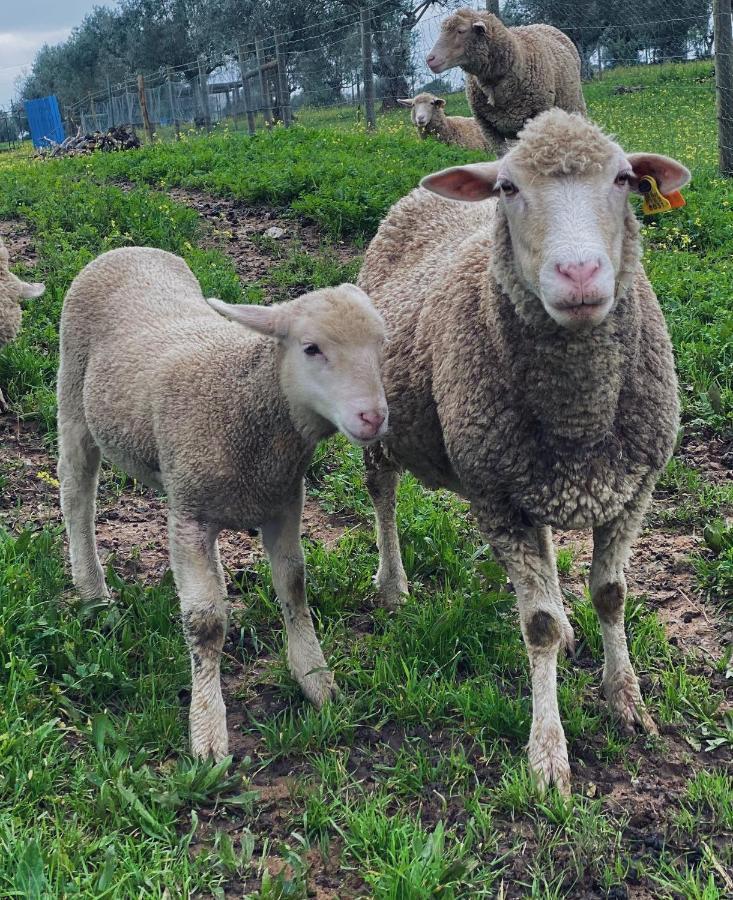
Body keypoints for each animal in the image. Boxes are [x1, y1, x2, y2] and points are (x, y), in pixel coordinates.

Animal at [57, 250, 388, 764]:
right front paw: (208, 733)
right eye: (311, 348)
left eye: (382, 343)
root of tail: (128, 250)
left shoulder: (283, 504)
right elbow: (206, 622)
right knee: (77, 495)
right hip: (73, 394)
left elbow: (294, 586)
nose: (373, 417)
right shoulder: (190, 515)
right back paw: (93, 591)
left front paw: (315, 679)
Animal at [360, 109, 692, 792]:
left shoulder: (634, 488)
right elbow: (535, 626)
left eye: (624, 179)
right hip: (386, 423)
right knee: (383, 493)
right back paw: (393, 585)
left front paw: (627, 701)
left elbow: (611, 595)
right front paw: (547, 757)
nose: (580, 274)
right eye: (509, 188)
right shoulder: (497, 497)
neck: (579, 417)